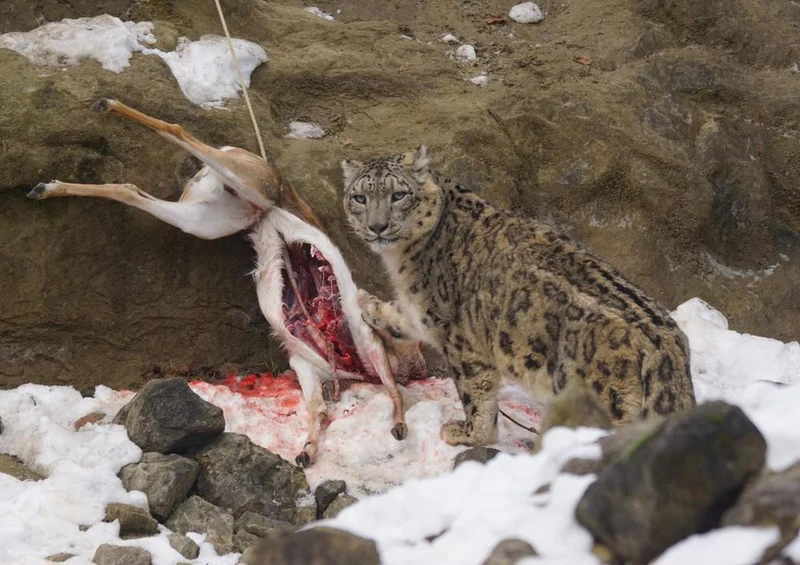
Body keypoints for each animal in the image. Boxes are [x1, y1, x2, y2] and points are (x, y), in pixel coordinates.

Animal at [340, 145, 696, 446]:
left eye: (398, 194)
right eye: (359, 197)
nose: (377, 227)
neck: (403, 260)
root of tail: (666, 346)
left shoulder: (462, 341)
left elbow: (476, 391)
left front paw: (470, 433)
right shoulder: (423, 313)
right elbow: (405, 319)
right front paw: (370, 307)